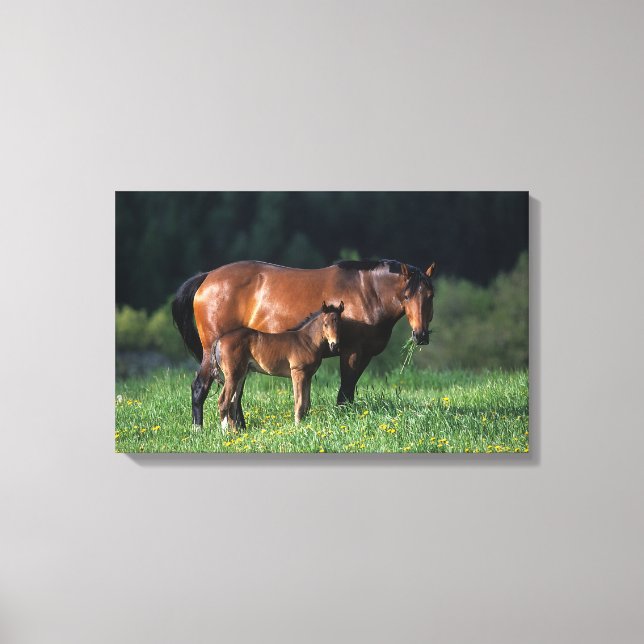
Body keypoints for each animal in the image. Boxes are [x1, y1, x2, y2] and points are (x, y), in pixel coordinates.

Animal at [213, 302, 344, 431]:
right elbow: (299, 402)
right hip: (232, 375)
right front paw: (298, 426)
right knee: (223, 402)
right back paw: (225, 432)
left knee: (232, 403)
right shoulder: (298, 373)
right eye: (325, 324)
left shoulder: (308, 376)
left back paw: (236, 432)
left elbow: (307, 403)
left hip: (241, 375)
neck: (307, 341)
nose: (335, 345)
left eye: (339, 323)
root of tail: (219, 341)